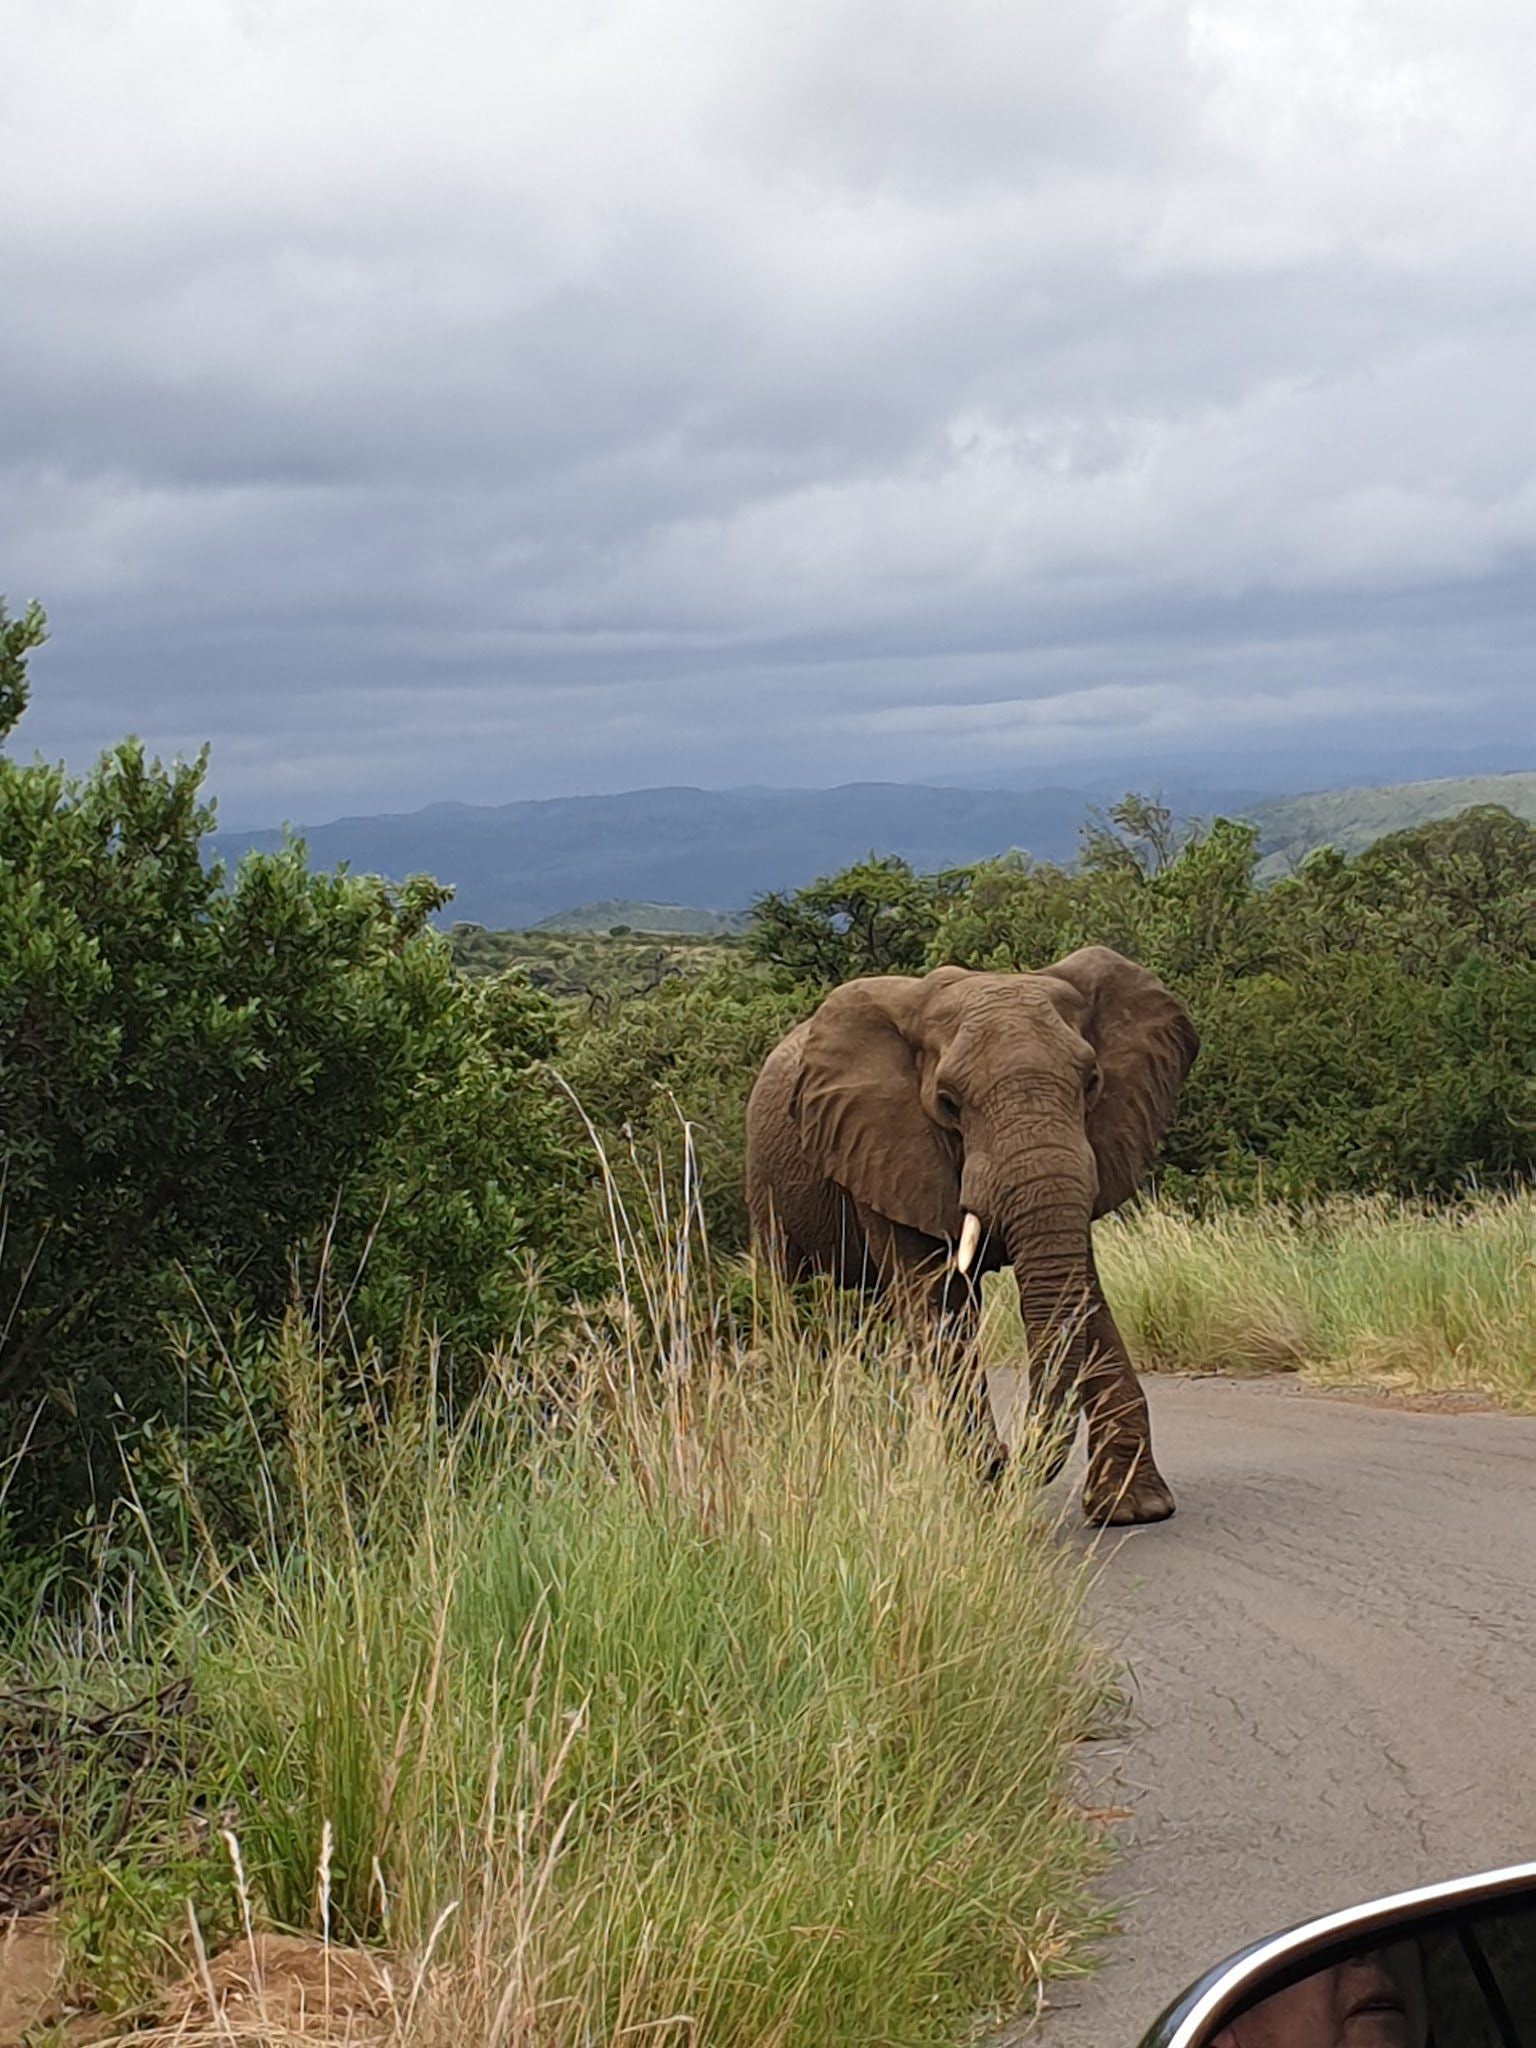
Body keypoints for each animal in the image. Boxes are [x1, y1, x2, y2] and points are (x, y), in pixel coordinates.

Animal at [745, 942, 1204, 1523]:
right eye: (948, 1102)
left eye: (1092, 1084)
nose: (1013, 1457)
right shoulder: (885, 1147)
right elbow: (941, 1300)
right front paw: (982, 1483)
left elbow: (1084, 1294)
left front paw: (1134, 1509)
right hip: (767, 1189)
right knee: (792, 1299)